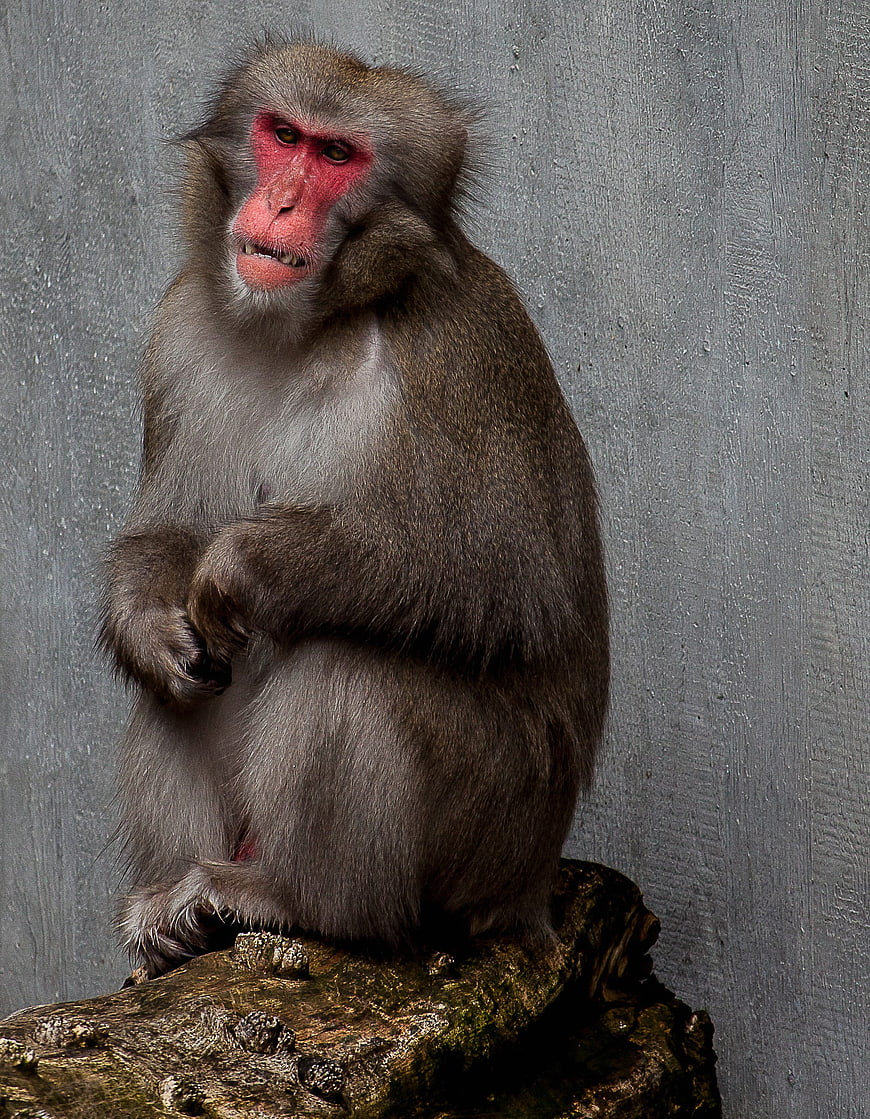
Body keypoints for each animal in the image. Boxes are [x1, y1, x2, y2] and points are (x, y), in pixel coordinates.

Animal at [99, 40, 609, 979]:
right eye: (283, 136)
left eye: (338, 156)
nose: (283, 200)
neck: (307, 329)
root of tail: (532, 889)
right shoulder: (179, 333)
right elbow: (166, 540)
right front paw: (152, 623)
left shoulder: (453, 353)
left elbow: (511, 582)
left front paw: (248, 563)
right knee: (182, 692)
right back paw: (178, 922)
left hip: (495, 826)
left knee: (346, 658)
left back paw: (305, 900)